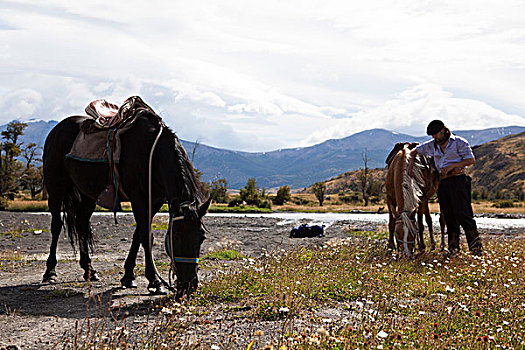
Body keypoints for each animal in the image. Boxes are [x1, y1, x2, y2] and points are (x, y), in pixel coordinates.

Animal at [43, 107, 210, 298]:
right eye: (176, 236)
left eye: (202, 237)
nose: (189, 286)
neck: (152, 154)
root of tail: (56, 130)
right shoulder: (139, 199)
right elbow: (146, 237)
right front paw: (154, 281)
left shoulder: (154, 201)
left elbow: (139, 235)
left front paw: (128, 276)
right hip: (56, 189)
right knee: (56, 226)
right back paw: (50, 271)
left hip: (88, 194)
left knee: (81, 224)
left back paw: (89, 270)